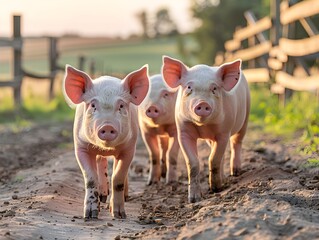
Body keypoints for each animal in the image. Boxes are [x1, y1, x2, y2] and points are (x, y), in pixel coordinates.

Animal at [62, 64, 150, 218]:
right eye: (93, 105)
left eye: (121, 106)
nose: (107, 126)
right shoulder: (81, 147)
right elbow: (91, 179)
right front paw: (90, 215)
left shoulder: (129, 149)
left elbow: (118, 178)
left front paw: (119, 215)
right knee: (100, 162)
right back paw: (102, 197)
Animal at [162, 55, 250, 202]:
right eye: (189, 87)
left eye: (214, 88)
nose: (202, 103)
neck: (203, 126)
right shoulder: (183, 131)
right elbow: (193, 163)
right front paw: (194, 199)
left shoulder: (224, 132)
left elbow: (213, 159)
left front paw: (215, 189)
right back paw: (224, 177)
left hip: (246, 117)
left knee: (236, 142)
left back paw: (235, 172)